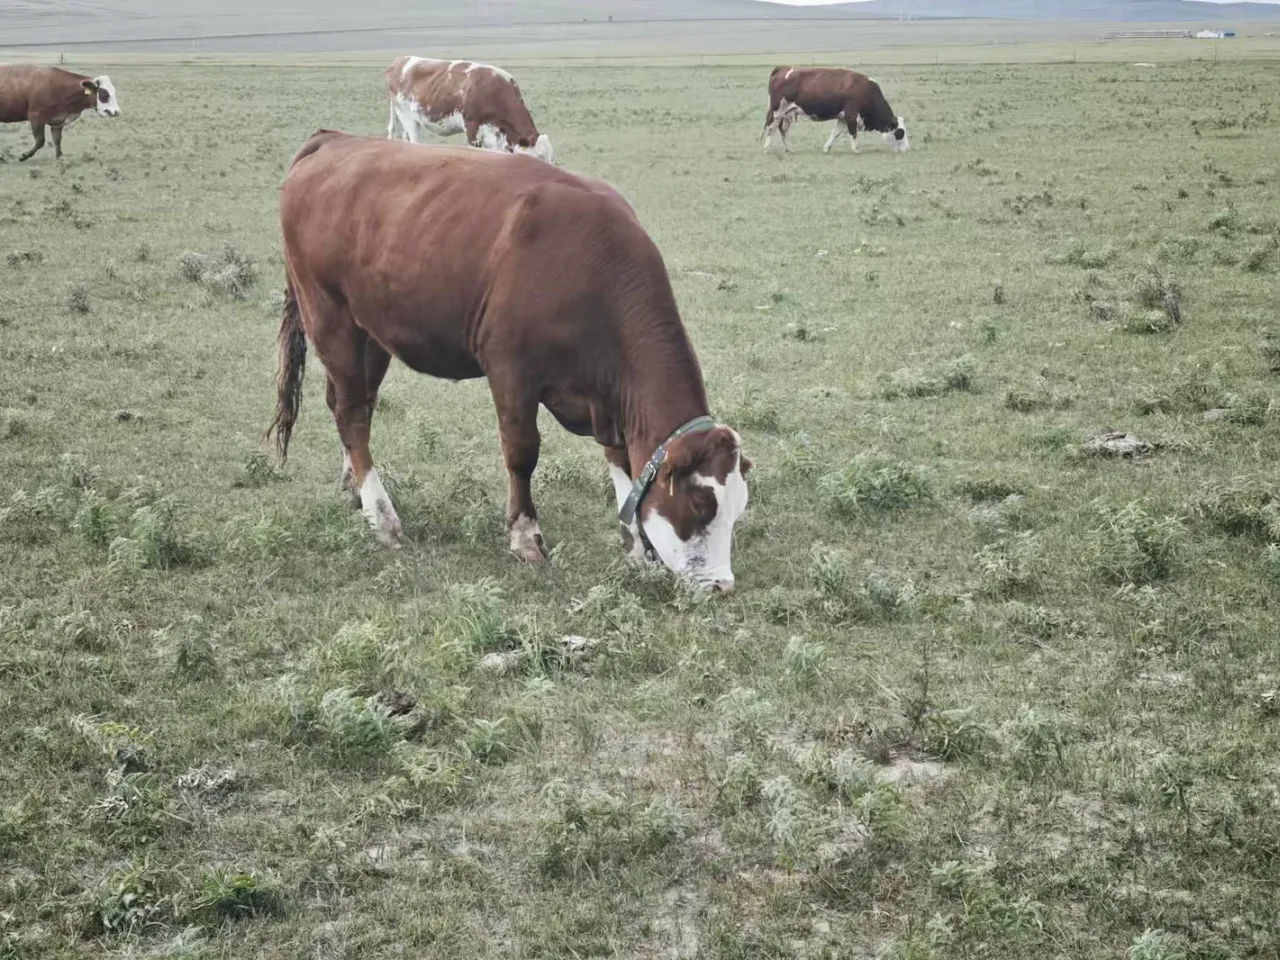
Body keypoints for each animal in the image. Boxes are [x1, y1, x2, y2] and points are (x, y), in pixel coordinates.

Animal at [266, 131, 751, 592]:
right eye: (701, 504)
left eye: (738, 508)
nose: (722, 586)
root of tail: (334, 139)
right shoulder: (511, 371)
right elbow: (522, 453)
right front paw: (525, 537)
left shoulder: (610, 397)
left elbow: (621, 459)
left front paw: (634, 547)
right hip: (329, 316)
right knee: (351, 412)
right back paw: (383, 517)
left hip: (370, 331)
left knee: (352, 404)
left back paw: (354, 488)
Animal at [762, 67, 908, 155]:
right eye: (899, 133)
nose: (907, 149)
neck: (866, 90)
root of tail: (783, 68)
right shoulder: (851, 116)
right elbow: (853, 134)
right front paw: (856, 150)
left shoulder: (842, 118)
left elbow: (835, 133)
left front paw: (827, 148)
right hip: (777, 112)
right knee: (771, 128)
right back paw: (766, 149)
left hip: (787, 114)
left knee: (783, 129)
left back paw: (789, 149)